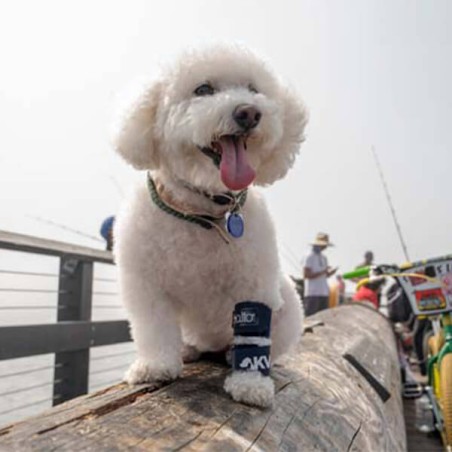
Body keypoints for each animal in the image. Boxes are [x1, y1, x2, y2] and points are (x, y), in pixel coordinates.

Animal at [115, 45, 308, 406]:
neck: (203, 212)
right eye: (203, 89)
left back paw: (232, 354)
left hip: (288, 305)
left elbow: (253, 336)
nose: (249, 112)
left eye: (253, 89)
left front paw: (250, 384)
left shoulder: (254, 284)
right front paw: (155, 366)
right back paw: (187, 350)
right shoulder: (146, 286)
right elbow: (153, 328)